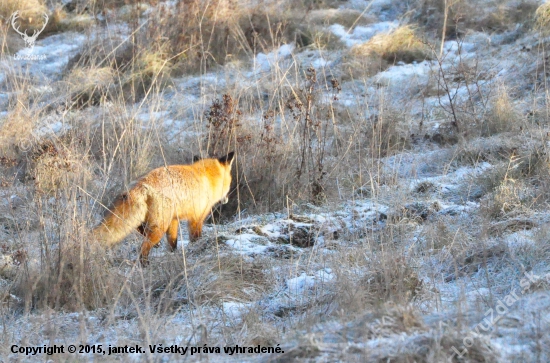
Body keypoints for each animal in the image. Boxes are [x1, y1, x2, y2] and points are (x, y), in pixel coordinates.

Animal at [94, 152, 235, 266]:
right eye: (230, 183)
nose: (226, 199)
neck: (206, 177)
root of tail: (141, 184)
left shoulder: (174, 220)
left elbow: (173, 241)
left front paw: (173, 255)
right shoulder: (197, 217)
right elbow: (195, 237)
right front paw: (197, 247)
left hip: (156, 220)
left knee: (140, 229)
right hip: (160, 225)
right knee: (143, 246)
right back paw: (144, 264)